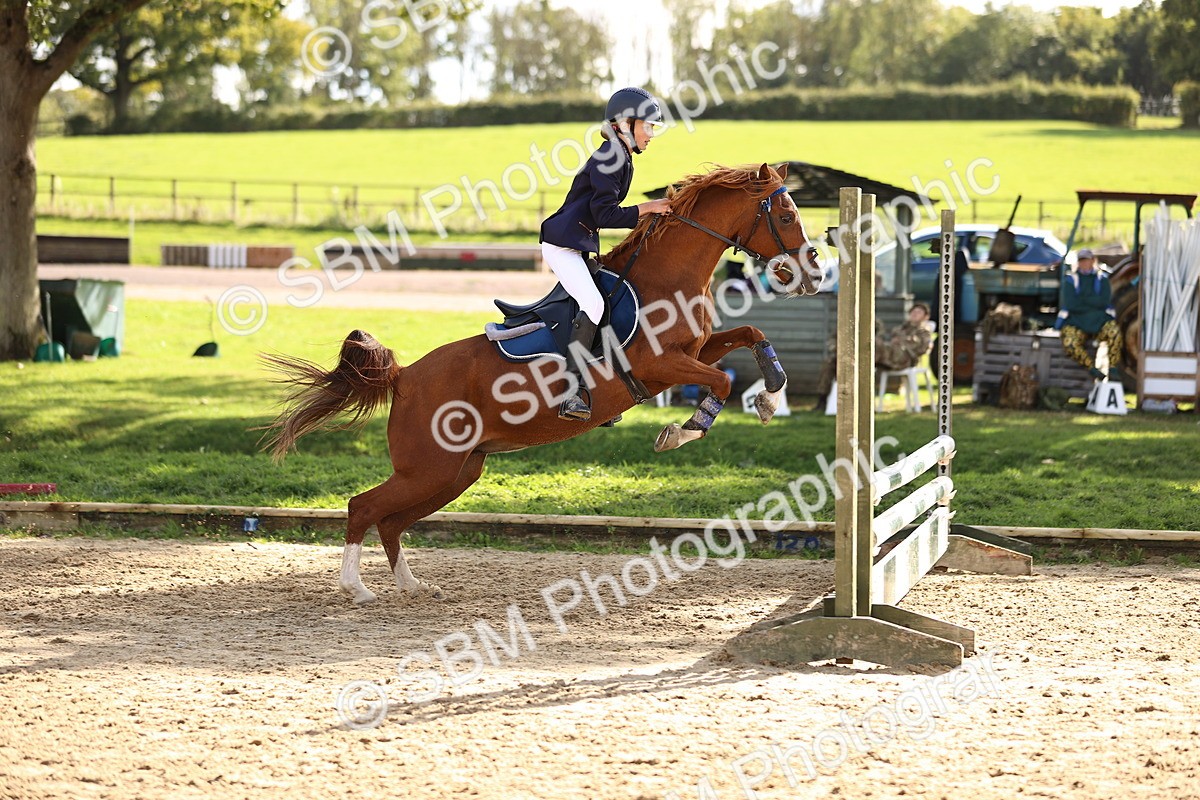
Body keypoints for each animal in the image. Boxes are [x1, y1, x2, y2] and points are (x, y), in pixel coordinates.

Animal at [262, 162, 822, 605]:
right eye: (786, 216)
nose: (813, 275)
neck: (667, 278)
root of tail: (405, 377)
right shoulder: (663, 364)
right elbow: (721, 382)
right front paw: (682, 431)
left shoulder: (695, 351)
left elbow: (750, 336)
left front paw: (770, 396)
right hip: (427, 468)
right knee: (364, 508)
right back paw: (356, 587)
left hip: (455, 472)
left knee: (391, 521)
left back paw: (412, 585)